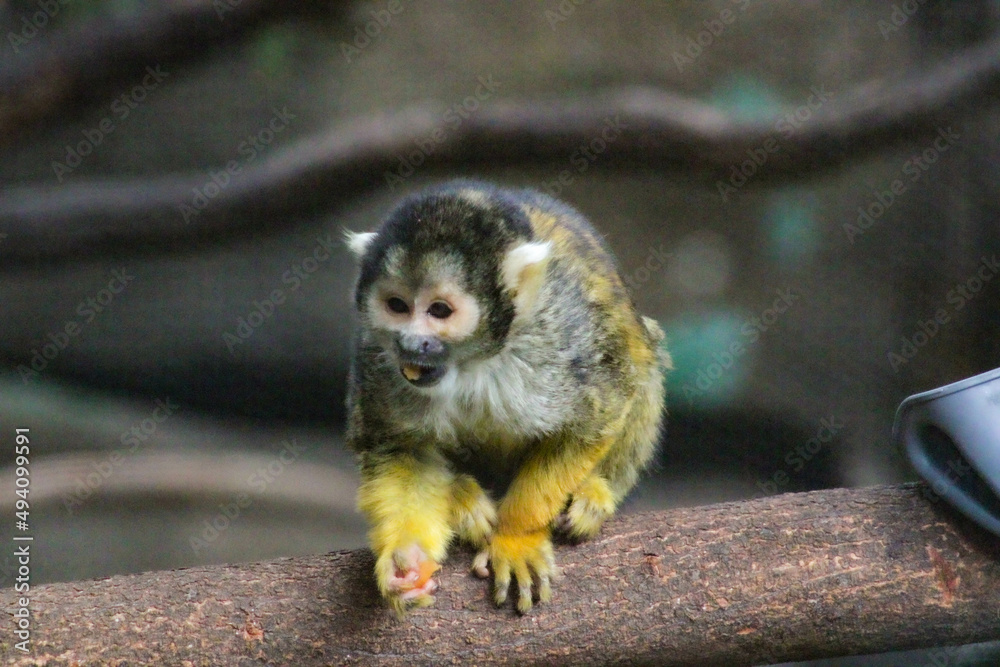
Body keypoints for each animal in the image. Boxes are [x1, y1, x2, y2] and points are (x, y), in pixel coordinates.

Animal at [344, 180, 670, 615]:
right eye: (396, 306)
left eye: (439, 310)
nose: (411, 344)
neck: (472, 362)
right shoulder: (376, 360)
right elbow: (401, 450)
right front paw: (404, 560)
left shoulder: (564, 334)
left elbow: (600, 408)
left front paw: (517, 538)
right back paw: (461, 498)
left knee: (639, 354)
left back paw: (595, 491)